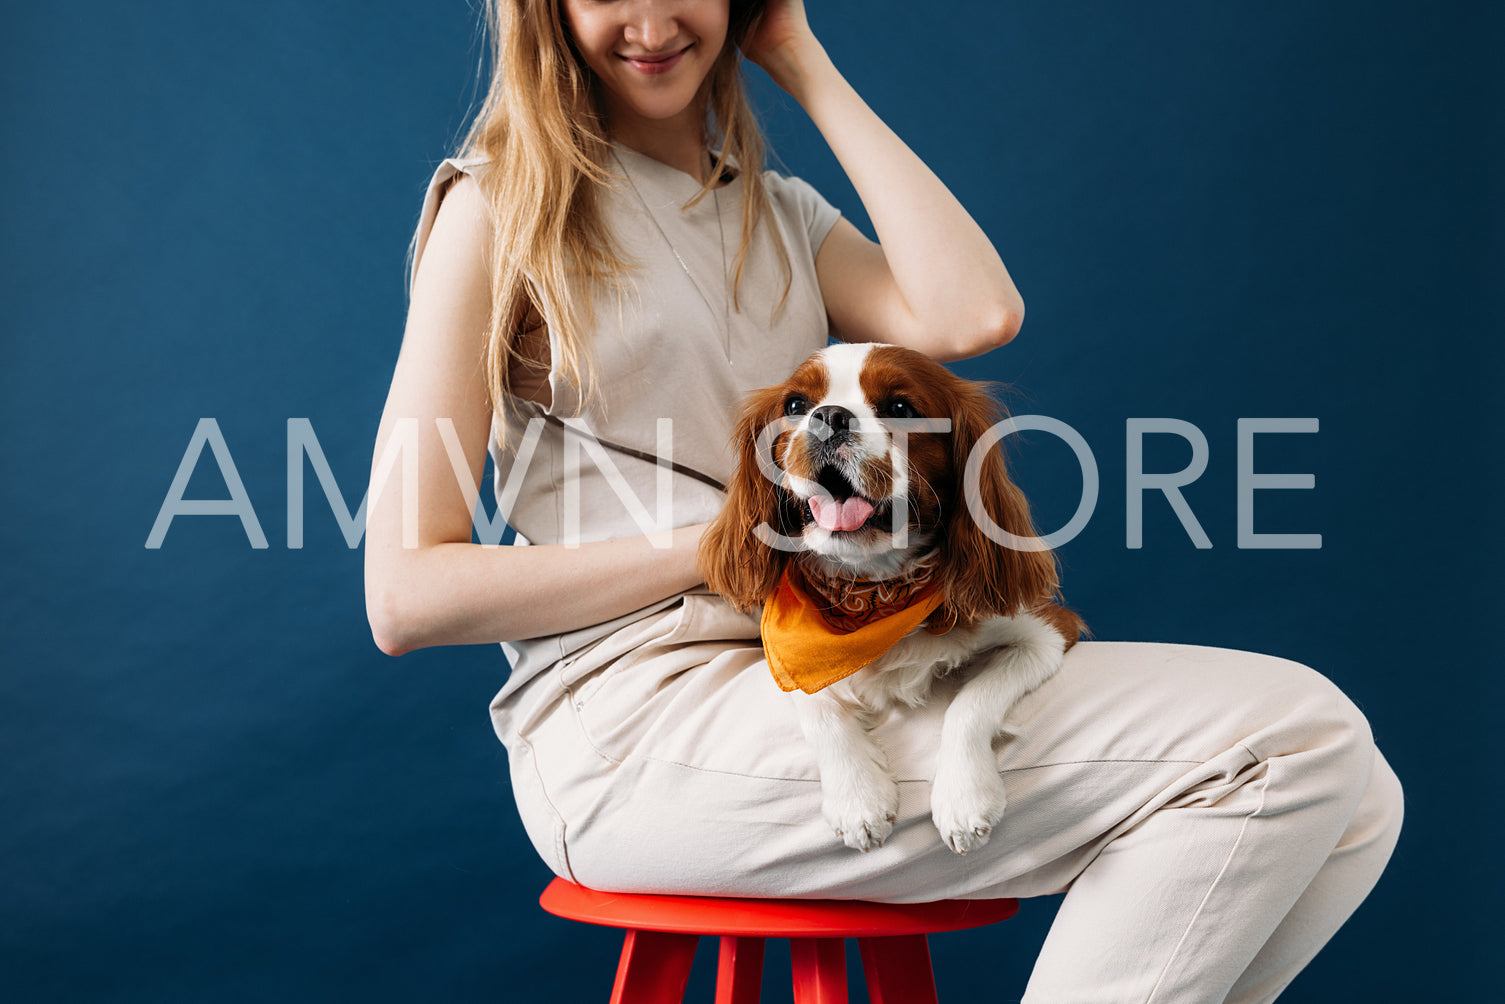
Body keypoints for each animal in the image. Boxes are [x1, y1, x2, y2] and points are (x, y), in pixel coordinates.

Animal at [701, 343, 1083, 854]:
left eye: (900, 408)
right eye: (796, 404)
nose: (830, 416)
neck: (873, 590)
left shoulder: (1047, 632)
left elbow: (972, 701)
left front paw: (964, 797)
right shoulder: (783, 649)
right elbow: (817, 707)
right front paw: (857, 798)